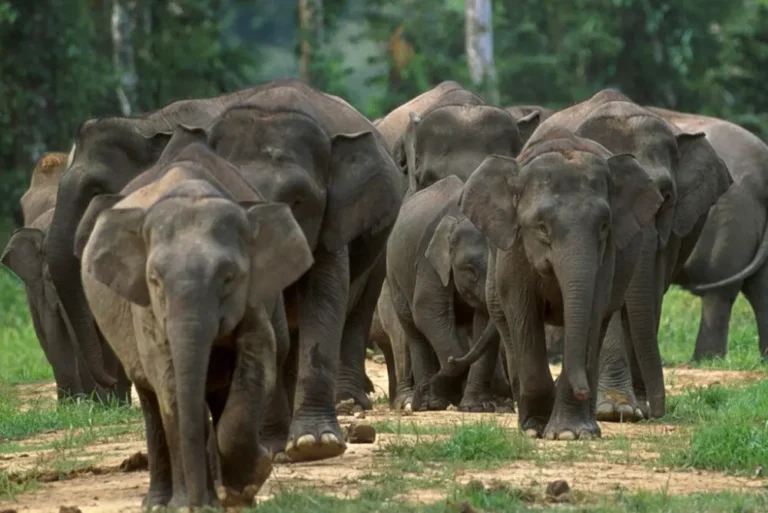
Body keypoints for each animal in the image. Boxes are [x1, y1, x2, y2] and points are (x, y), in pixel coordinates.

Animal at [76, 137, 314, 509]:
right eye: (155, 280)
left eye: (229, 277)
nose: (196, 504)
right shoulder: (145, 308)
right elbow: (169, 380)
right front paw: (195, 504)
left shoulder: (253, 296)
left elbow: (257, 361)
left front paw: (248, 482)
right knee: (152, 399)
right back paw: (160, 503)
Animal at [202, 79, 401, 462]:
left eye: (298, 201)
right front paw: (274, 446)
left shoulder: (334, 219)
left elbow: (324, 298)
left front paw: (315, 444)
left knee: (358, 308)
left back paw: (347, 405)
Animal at [385, 175, 513, 412]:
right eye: (470, 270)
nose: (452, 360)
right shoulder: (428, 262)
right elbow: (427, 311)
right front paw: (443, 393)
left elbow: (483, 323)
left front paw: (477, 406)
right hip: (393, 274)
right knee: (413, 328)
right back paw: (429, 403)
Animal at [460, 128, 664, 440]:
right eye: (542, 227)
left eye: (604, 226)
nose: (582, 390)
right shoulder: (514, 248)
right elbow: (522, 310)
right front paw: (536, 428)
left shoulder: (606, 257)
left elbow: (592, 311)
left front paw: (572, 433)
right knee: (505, 321)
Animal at [527, 90, 732, 422]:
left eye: (666, 196)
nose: (658, 411)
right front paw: (613, 410)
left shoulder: (671, 232)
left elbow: (648, 292)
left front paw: (636, 407)